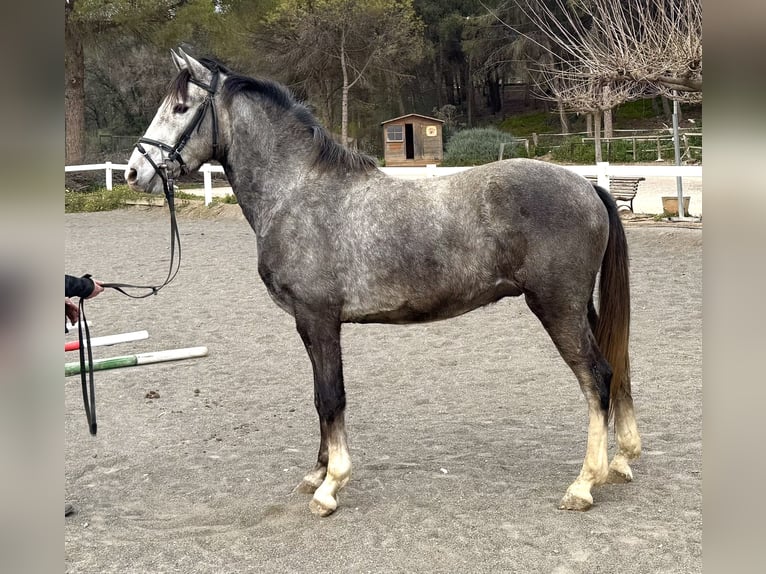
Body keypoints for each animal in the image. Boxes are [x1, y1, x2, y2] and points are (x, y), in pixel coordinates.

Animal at [126, 48, 640, 516]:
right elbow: (319, 398)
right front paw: (316, 472)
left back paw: (583, 484)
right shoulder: (308, 325)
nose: (134, 171)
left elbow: (331, 398)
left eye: (180, 107)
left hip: (557, 307)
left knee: (596, 378)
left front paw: (331, 486)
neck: (296, 192)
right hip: (580, 307)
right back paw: (622, 461)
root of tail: (587, 186)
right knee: (616, 369)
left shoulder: (319, 320)